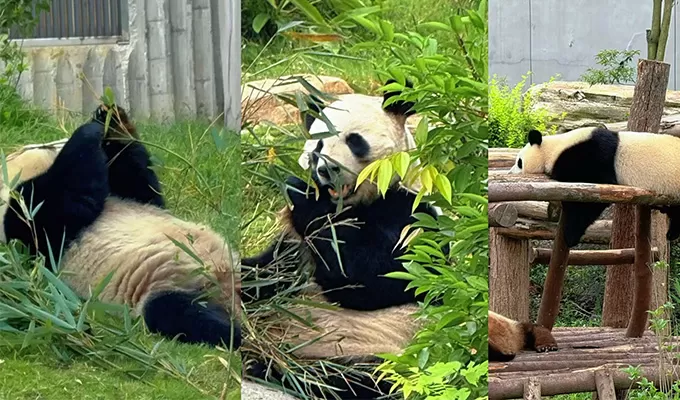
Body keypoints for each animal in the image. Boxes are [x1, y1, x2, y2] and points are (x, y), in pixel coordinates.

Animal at [0, 105, 241, 349]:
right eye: (41, 147)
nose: (57, 140)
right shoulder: (30, 227)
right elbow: (67, 198)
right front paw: (89, 132)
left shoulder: (128, 196)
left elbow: (141, 187)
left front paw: (111, 119)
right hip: (167, 290)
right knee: (187, 315)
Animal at [241, 80, 443, 399]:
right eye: (318, 145)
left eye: (354, 141)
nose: (326, 170)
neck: (349, 206)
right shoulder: (294, 247)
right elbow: (268, 271)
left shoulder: (412, 214)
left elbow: (369, 275)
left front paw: (301, 193)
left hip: (384, 347)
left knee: (357, 380)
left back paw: (273, 367)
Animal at [510, 127, 680, 248]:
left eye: (519, 162)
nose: (510, 172)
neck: (555, 147)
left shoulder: (591, 156)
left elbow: (591, 197)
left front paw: (571, 236)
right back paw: (672, 231)